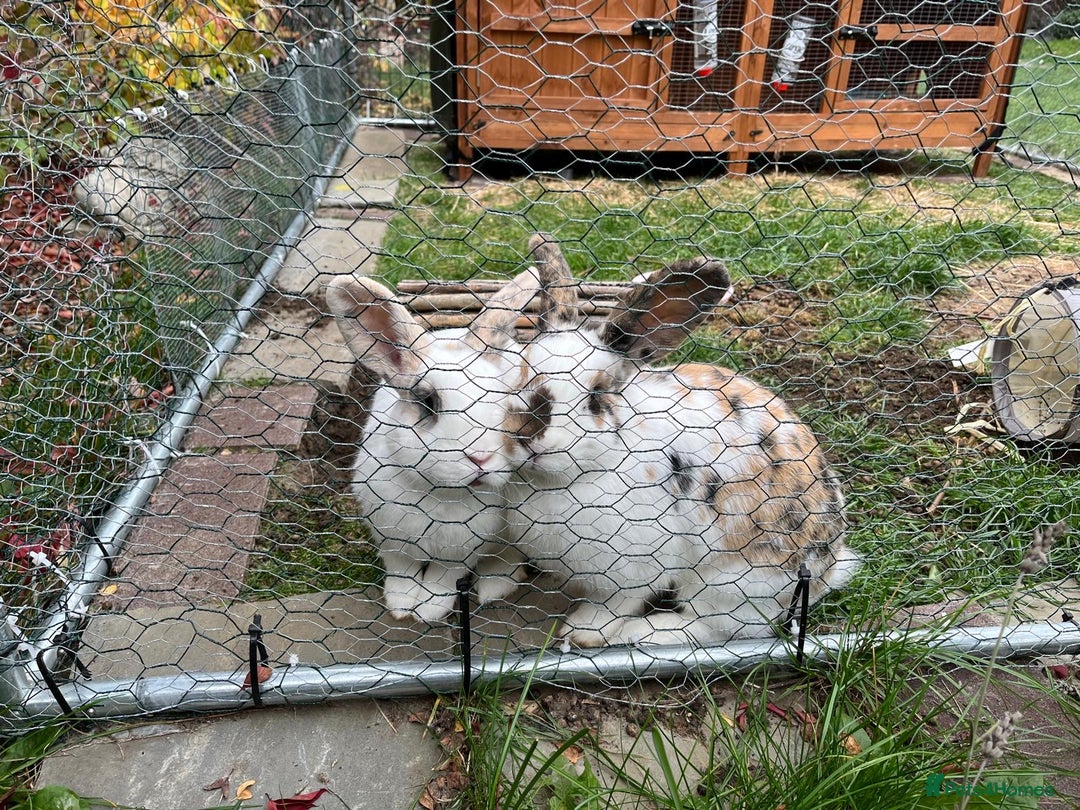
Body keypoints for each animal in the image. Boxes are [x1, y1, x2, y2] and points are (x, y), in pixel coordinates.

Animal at [325, 267, 540, 623]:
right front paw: (400, 606)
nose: (481, 458)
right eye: (427, 401)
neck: (440, 493)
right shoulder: (391, 539)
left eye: (507, 401)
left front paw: (427, 610)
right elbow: (401, 569)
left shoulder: (460, 551)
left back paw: (494, 587)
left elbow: (442, 577)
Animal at [503, 235, 861, 647]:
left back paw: (645, 631)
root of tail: (826, 572)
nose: (526, 433)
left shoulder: (636, 567)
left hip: (727, 583)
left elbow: (617, 602)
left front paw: (583, 630)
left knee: (717, 629)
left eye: (596, 397)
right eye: (520, 371)